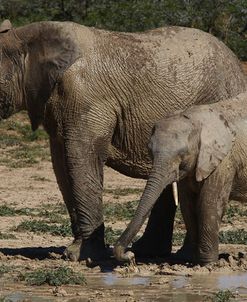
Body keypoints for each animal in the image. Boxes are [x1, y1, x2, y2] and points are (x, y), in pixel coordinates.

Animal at [114, 92, 247, 264]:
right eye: (150, 151)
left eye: (182, 154)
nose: (130, 256)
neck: (196, 119)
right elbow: (187, 204)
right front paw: (193, 260)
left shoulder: (223, 160)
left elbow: (208, 203)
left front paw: (208, 263)